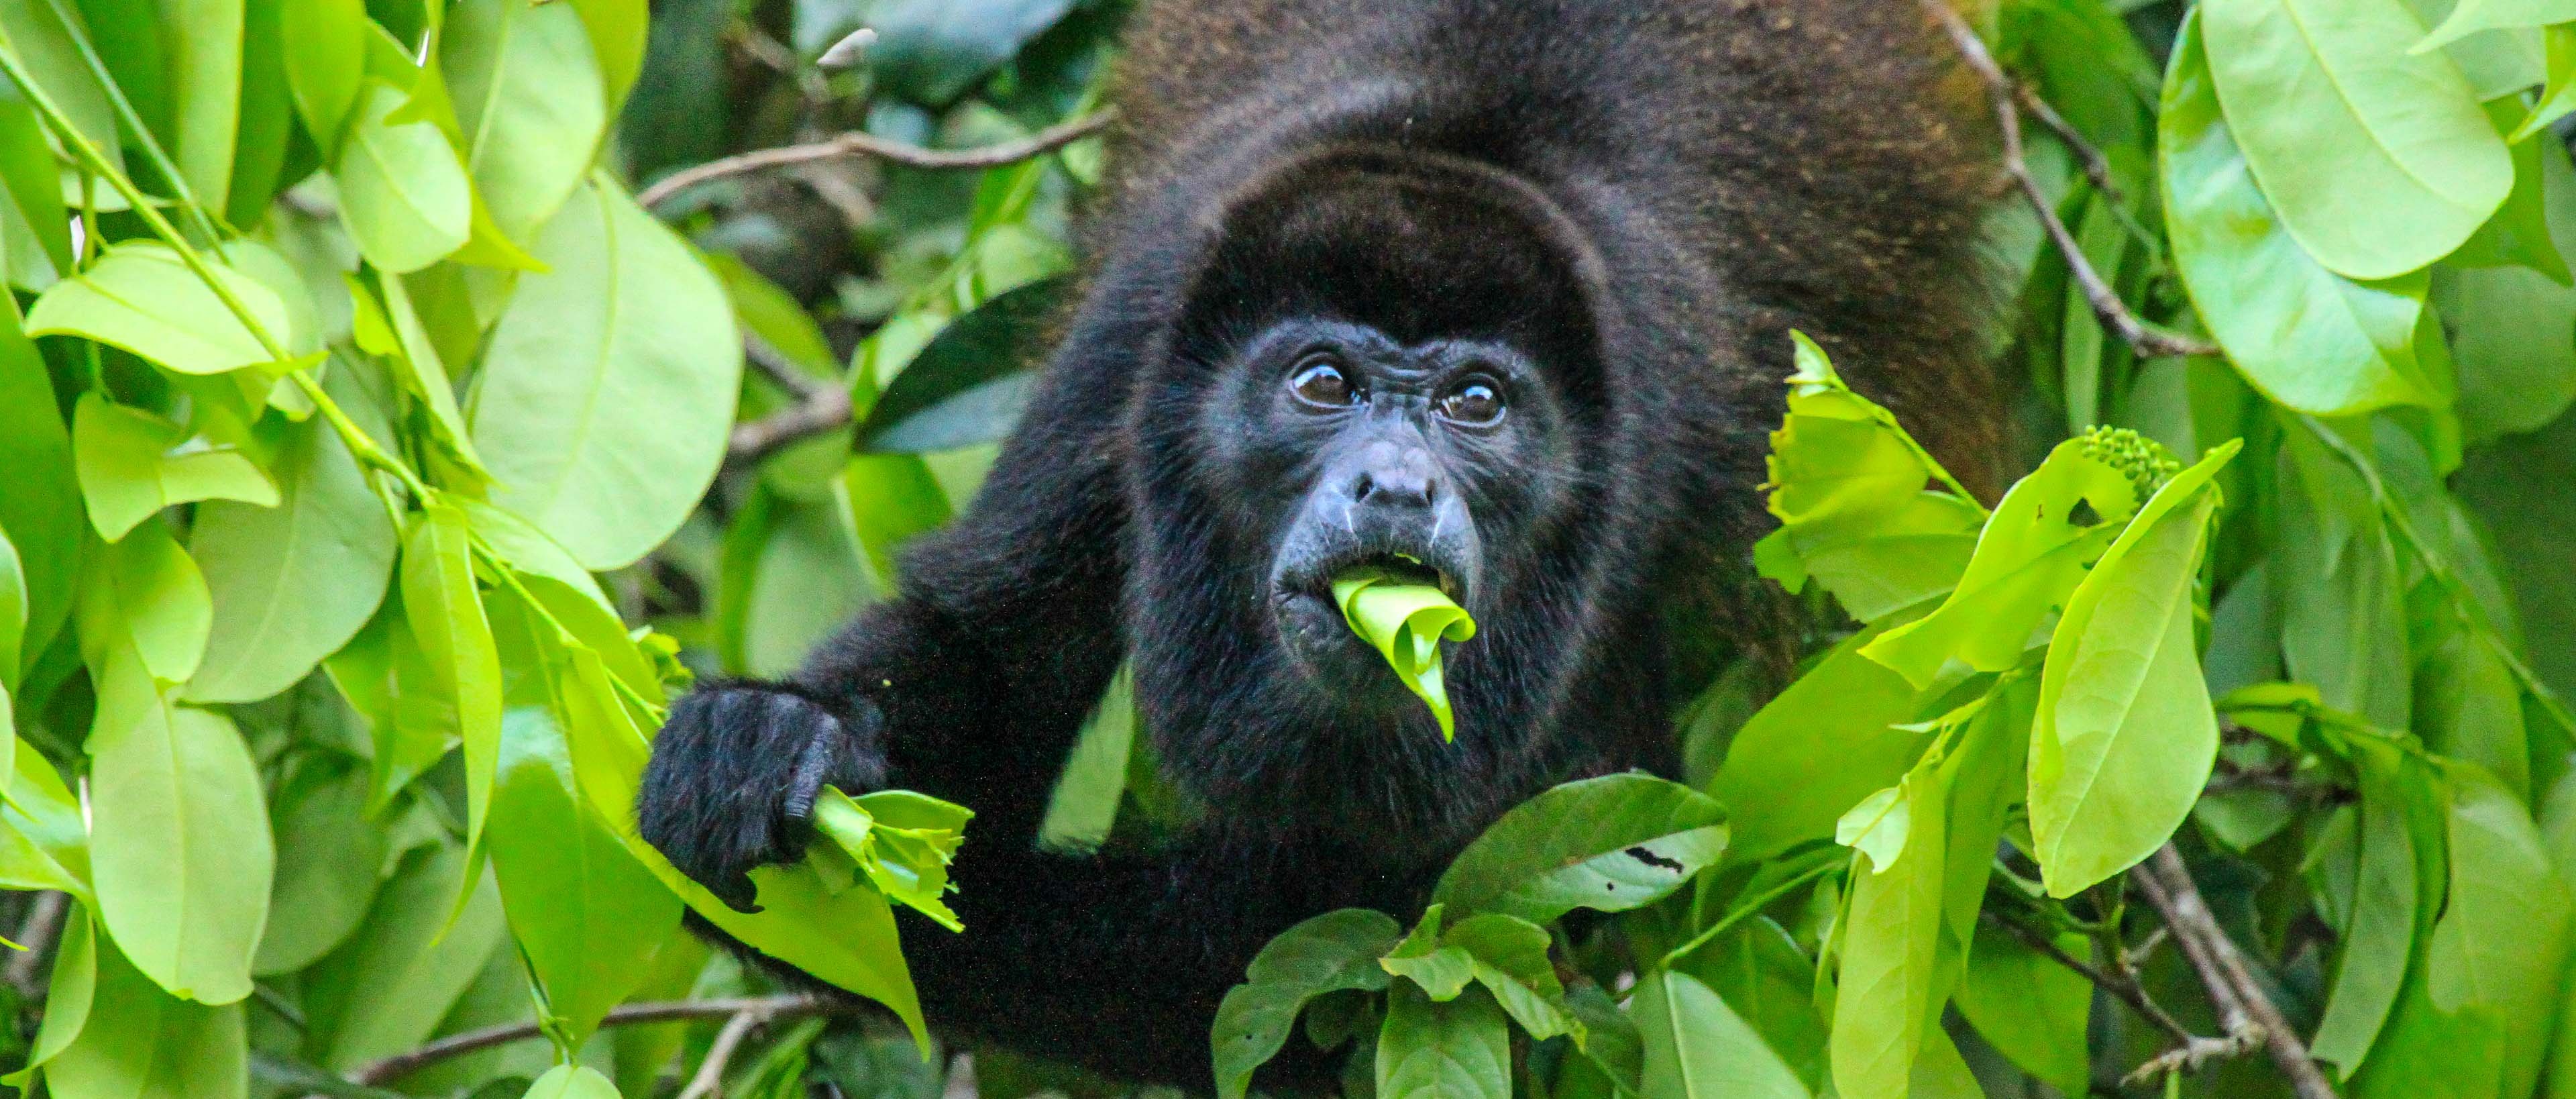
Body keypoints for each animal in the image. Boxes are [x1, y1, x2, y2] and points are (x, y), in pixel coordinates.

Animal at [637, 0, 2001, 1086]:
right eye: (1323, 383)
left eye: (1476, 402)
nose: (1394, 483)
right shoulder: (1135, 340)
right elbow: (980, 641)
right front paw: (768, 740)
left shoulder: (1658, 437)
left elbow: (1350, 926)